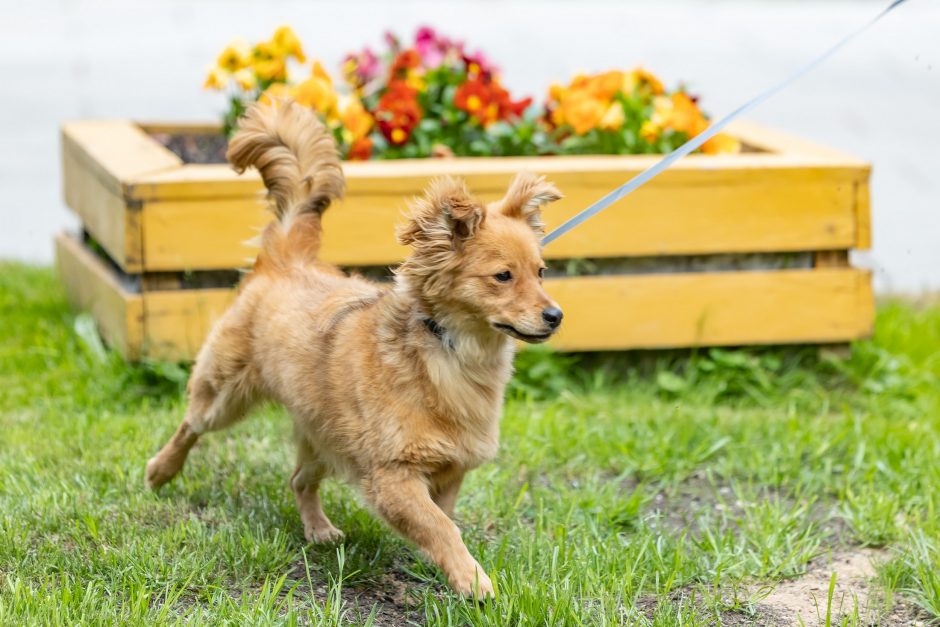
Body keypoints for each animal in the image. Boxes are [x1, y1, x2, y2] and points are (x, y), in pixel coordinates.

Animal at [143, 99, 560, 600]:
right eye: (503, 276)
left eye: (540, 272)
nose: (555, 315)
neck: (451, 352)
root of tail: (287, 260)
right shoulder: (392, 474)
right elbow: (442, 527)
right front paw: (473, 580)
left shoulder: (449, 470)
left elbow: (443, 521)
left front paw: (446, 570)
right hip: (223, 394)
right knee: (191, 424)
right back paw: (161, 470)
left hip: (323, 433)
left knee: (299, 480)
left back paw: (318, 529)